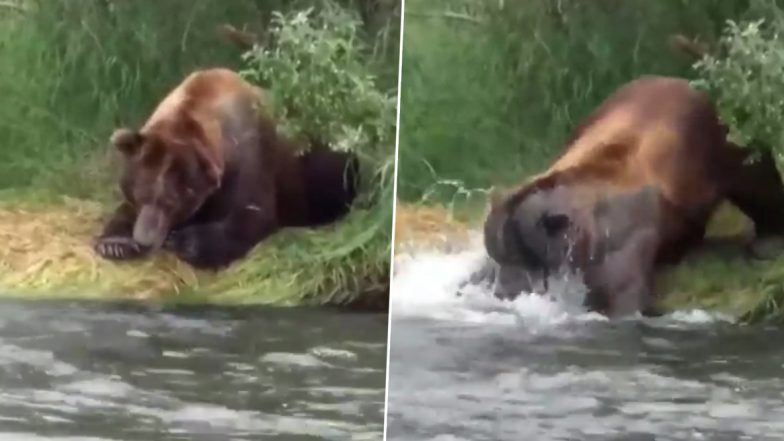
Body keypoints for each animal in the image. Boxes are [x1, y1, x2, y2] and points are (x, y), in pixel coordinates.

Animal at [94, 67, 359, 269]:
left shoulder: (251, 158)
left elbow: (251, 214)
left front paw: (184, 241)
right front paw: (115, 243)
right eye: (141, 195)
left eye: (172, 202)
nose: (144, 241)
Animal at [478, 76, 784, 317]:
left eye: (524, 251)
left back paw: (767, 239)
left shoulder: (625, 238)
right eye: (499, 249)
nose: (505, 288)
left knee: (757, 178)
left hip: (719, 142)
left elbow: (623, 294)